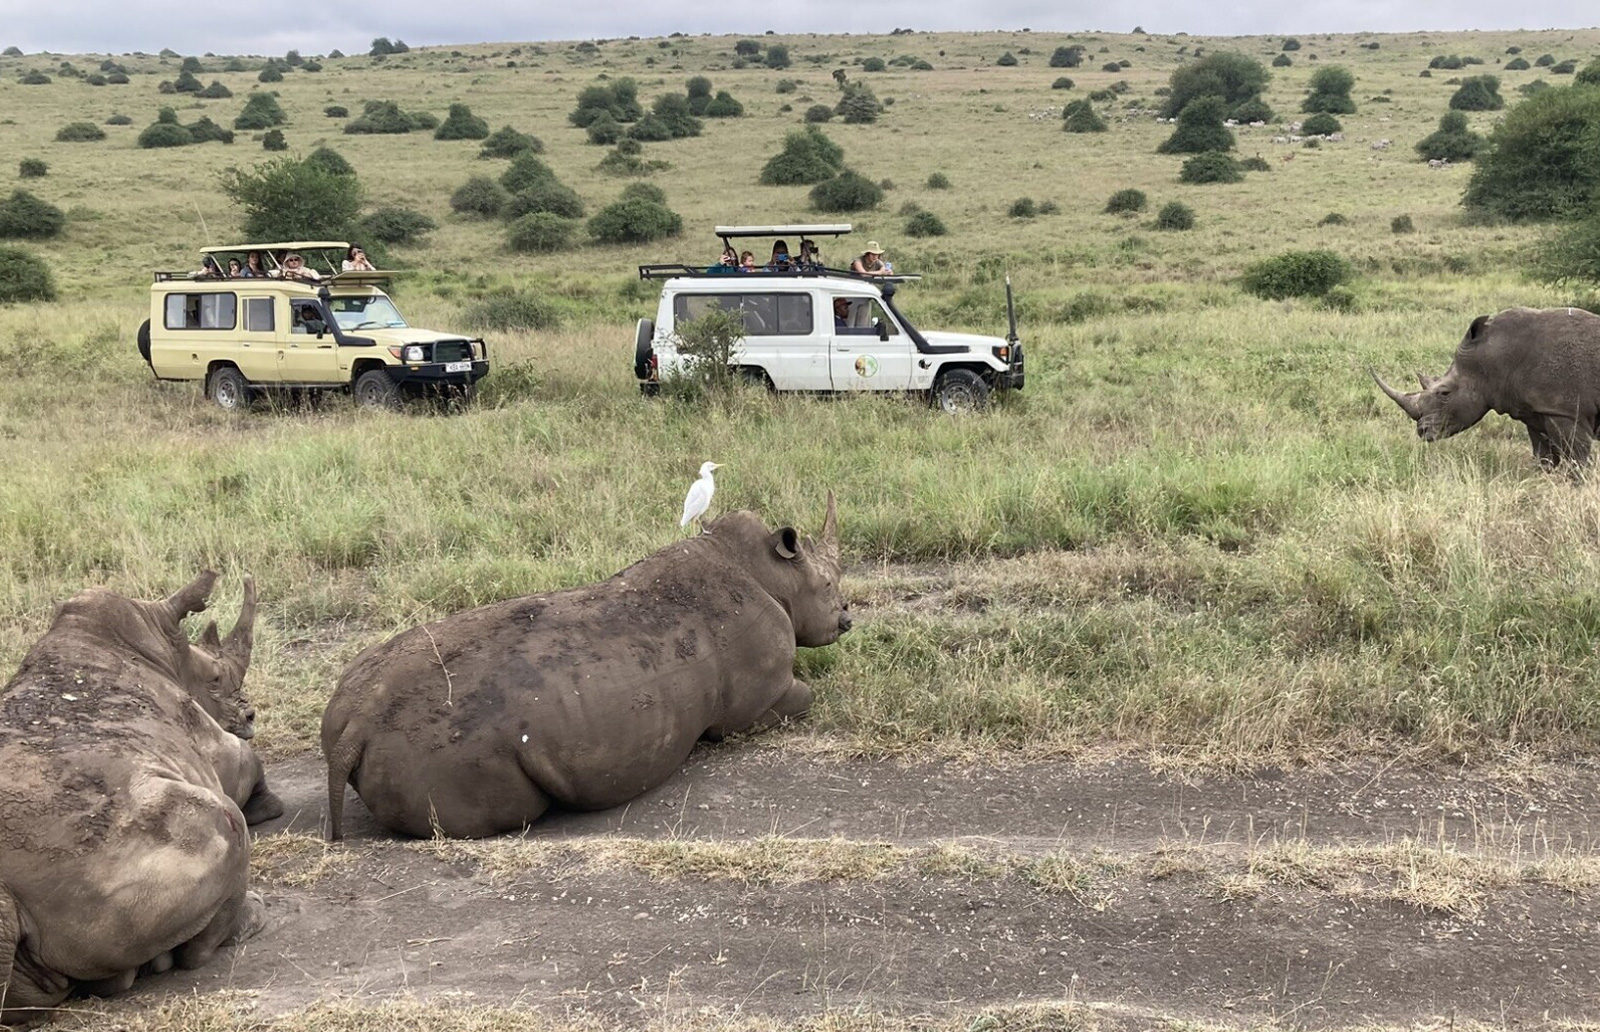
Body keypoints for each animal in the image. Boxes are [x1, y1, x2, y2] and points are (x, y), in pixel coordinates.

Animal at [0, 572, 281, 1025]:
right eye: (215, 679)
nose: (250, 715)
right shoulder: (216, 742)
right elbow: (246, 759)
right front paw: (267, 806)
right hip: (126, 853)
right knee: (226, 823)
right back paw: (250, 917)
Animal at [323, 494, 851, 840]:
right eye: (827, 585)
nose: (846, 620)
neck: (769, 571)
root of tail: (354, 729)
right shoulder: (754, 703)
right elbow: (801, 698)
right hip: (451, 753)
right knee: (517, 810)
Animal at [1374, 307, 1600, 469]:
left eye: (1444, 393)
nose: (1422, 431)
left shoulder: (1566, 412)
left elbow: (1577, 461)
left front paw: (1577, 488)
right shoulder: (1537, 411)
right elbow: (1543, 457)